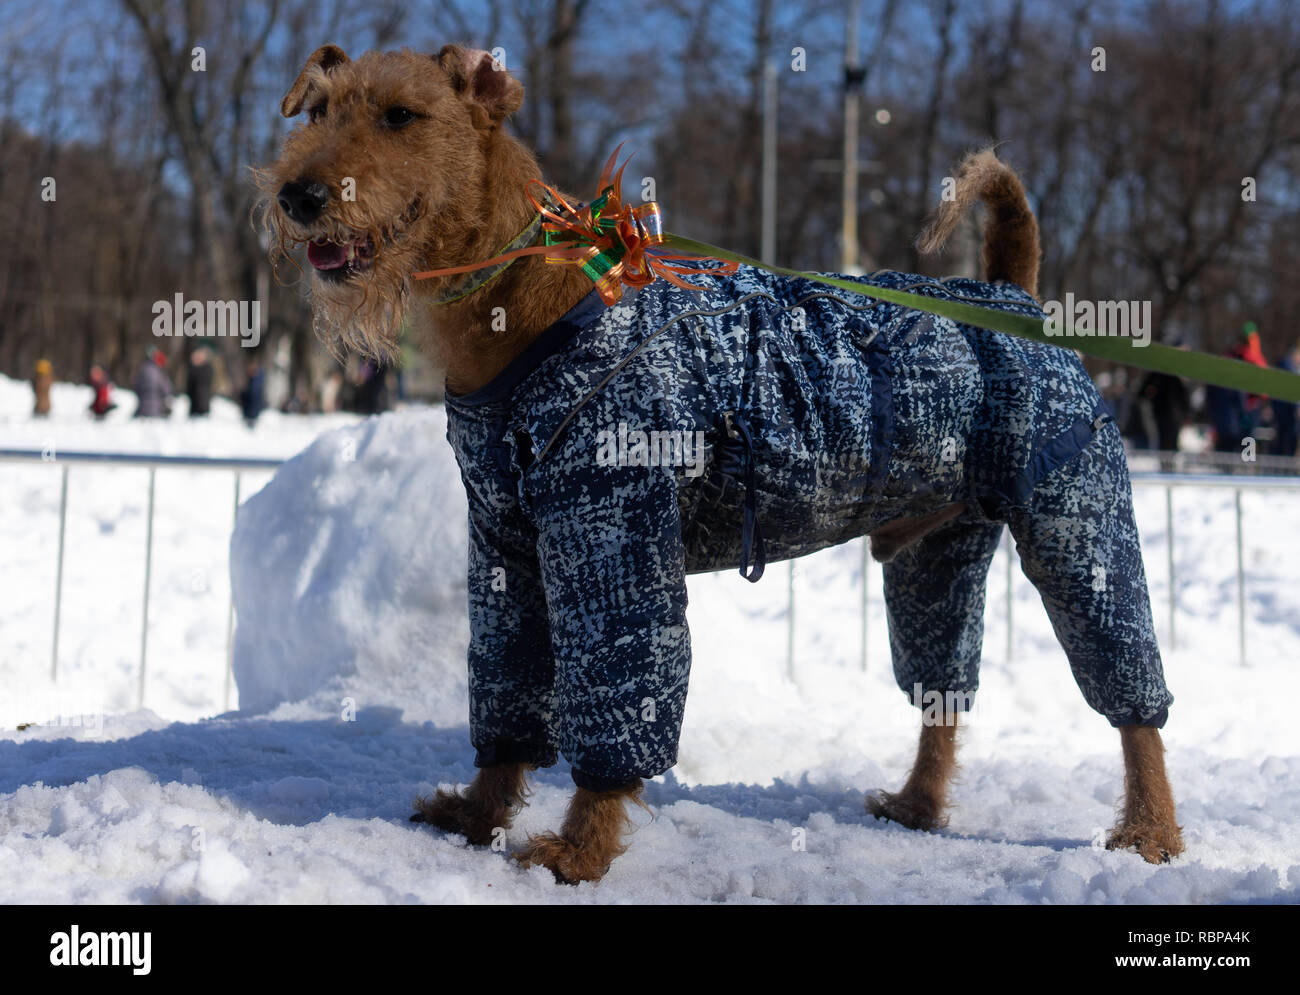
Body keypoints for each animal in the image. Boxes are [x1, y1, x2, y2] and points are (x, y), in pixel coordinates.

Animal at [263, 48, 1190, 884]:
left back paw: (1150, 831)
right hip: (937, 555)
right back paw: (918, 804)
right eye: (319, 111)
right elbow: (507, 702)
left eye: (401, 115)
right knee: (942, 695)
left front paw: (578, 851)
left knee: (1134, 703)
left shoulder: (615, 535)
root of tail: (1013, 293)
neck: (525, 303)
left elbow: (619, 708)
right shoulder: (507, 553)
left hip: (1077, 522)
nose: (297, 195)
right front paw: (478, 812)